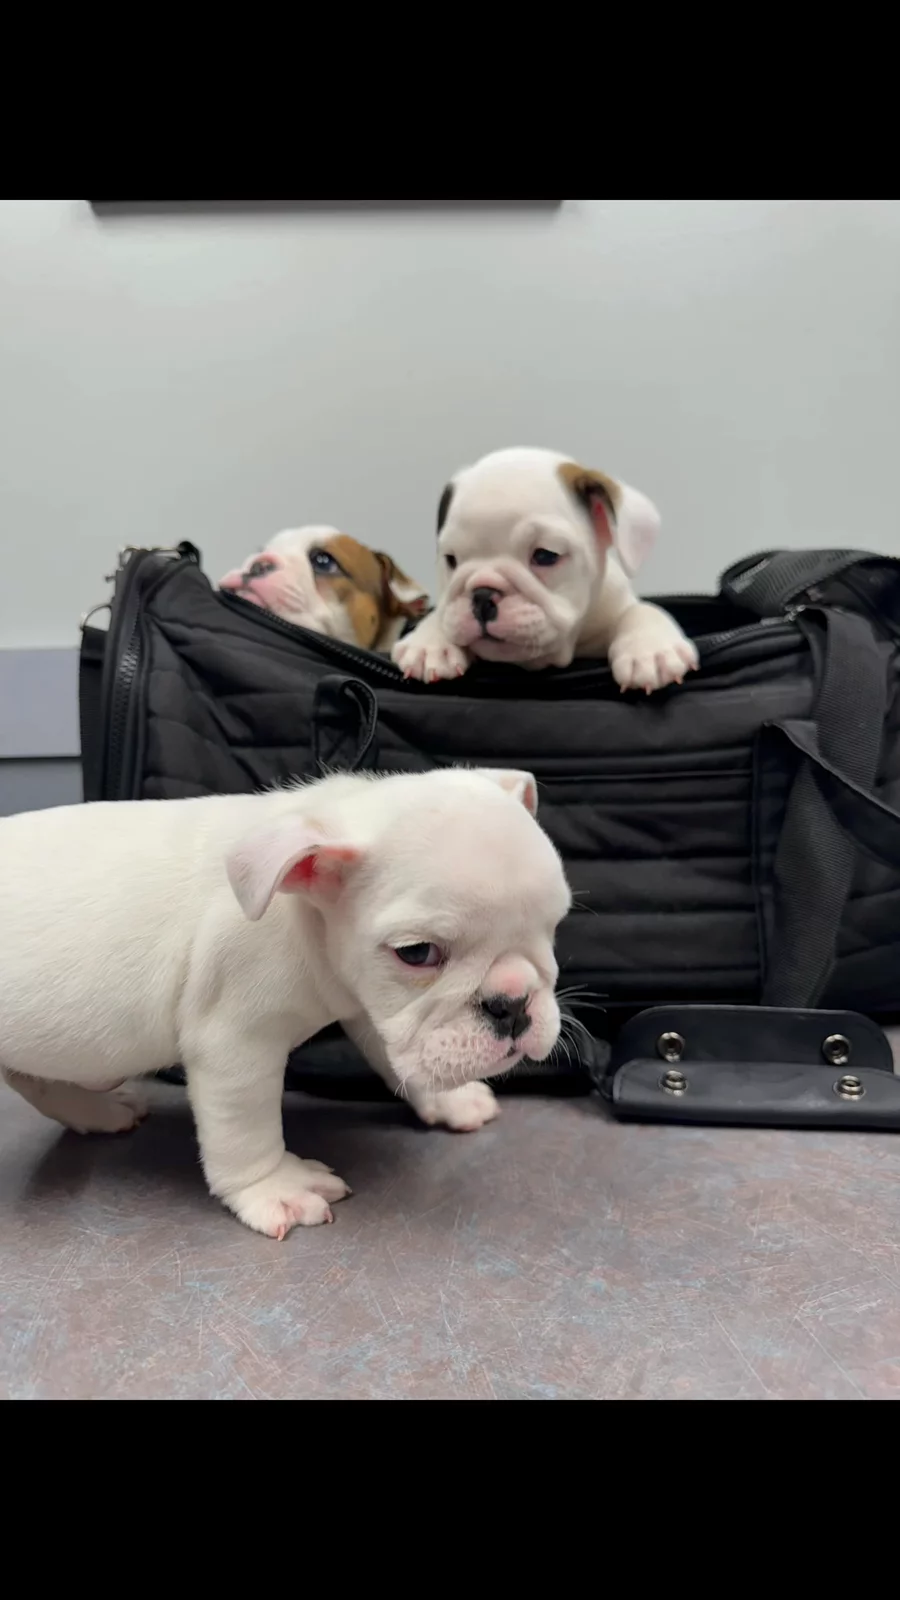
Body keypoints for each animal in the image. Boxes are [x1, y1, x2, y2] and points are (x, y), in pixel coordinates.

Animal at [0, 769, 570, 1240]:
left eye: (553, 926)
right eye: (417, 953)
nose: (514, 1003)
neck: (305, 908)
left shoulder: (372, 1008)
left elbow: (398, 1055)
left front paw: (450, 1098)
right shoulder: (235, 1045)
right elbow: (246, 1127)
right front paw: (275, 1188)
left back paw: (95, 1111)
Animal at [393, 447, 699, 692]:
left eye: (545, 556)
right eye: (451, 560)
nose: (481, 595)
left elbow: (642, 610)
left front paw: (651, 650)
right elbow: (442, 614)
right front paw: (429, 644)